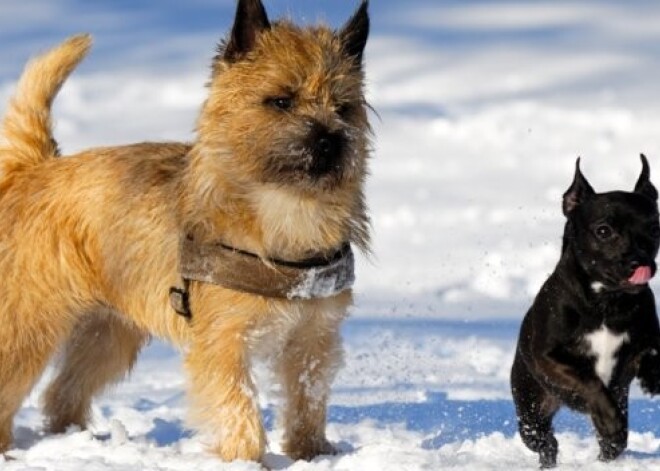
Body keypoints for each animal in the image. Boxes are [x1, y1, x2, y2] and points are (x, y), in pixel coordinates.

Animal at [0, 0, 372, 462]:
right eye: (281, 101)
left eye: (343, 107)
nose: (329, 141)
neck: (285, 214)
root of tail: (35, 168)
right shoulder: (223, 342)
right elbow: (238, 409)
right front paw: (246, 461)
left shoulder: (313, 338)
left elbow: (308, 400)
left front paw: (312, 453)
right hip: (29, 328)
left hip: (108, 335)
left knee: (62, 394)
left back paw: (76, 440)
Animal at [512, 156, 660, 468]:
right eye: (603, 230)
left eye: (655, 229)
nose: (639, 260)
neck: (606, 300)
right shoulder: (550, 358)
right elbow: (587, 380)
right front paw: (609, 417)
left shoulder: (644, 339)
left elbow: (650, 350)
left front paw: (652, 376)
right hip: (530, 406)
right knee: (543, 439)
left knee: (611, 442)